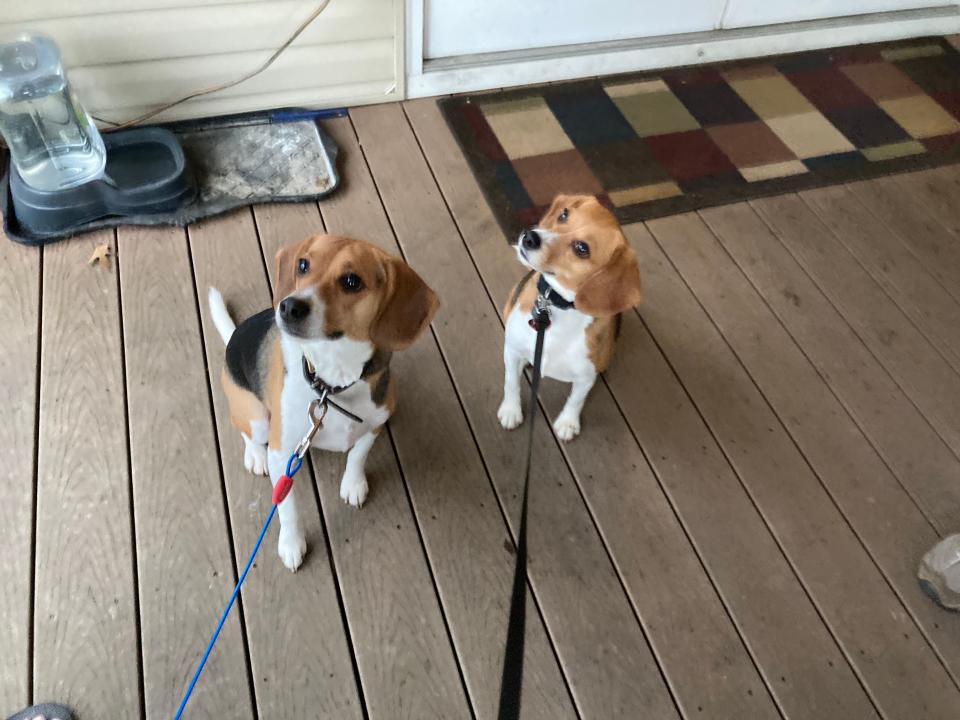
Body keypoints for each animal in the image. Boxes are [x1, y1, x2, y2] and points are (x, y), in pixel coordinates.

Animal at [210, 233, 438, 572]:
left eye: (351, 281)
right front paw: (291, 544)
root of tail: (234, 337)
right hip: (258, 420)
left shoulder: (374, 424)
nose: (288, 306)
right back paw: (255, 456)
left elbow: (358, 454)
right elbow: (288, 508)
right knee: (246, 432)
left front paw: (353, 484)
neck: (332, 383)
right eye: (303, 265)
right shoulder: (282, 455)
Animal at [498, 195, 640, 438]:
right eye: (564, 214)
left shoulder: (585, 377)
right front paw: (511, 409)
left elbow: (576, 400)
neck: (554, 306)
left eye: (582, 248)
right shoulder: (513, 349)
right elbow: (511, 382)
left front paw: (567, 423)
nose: (529, 236)